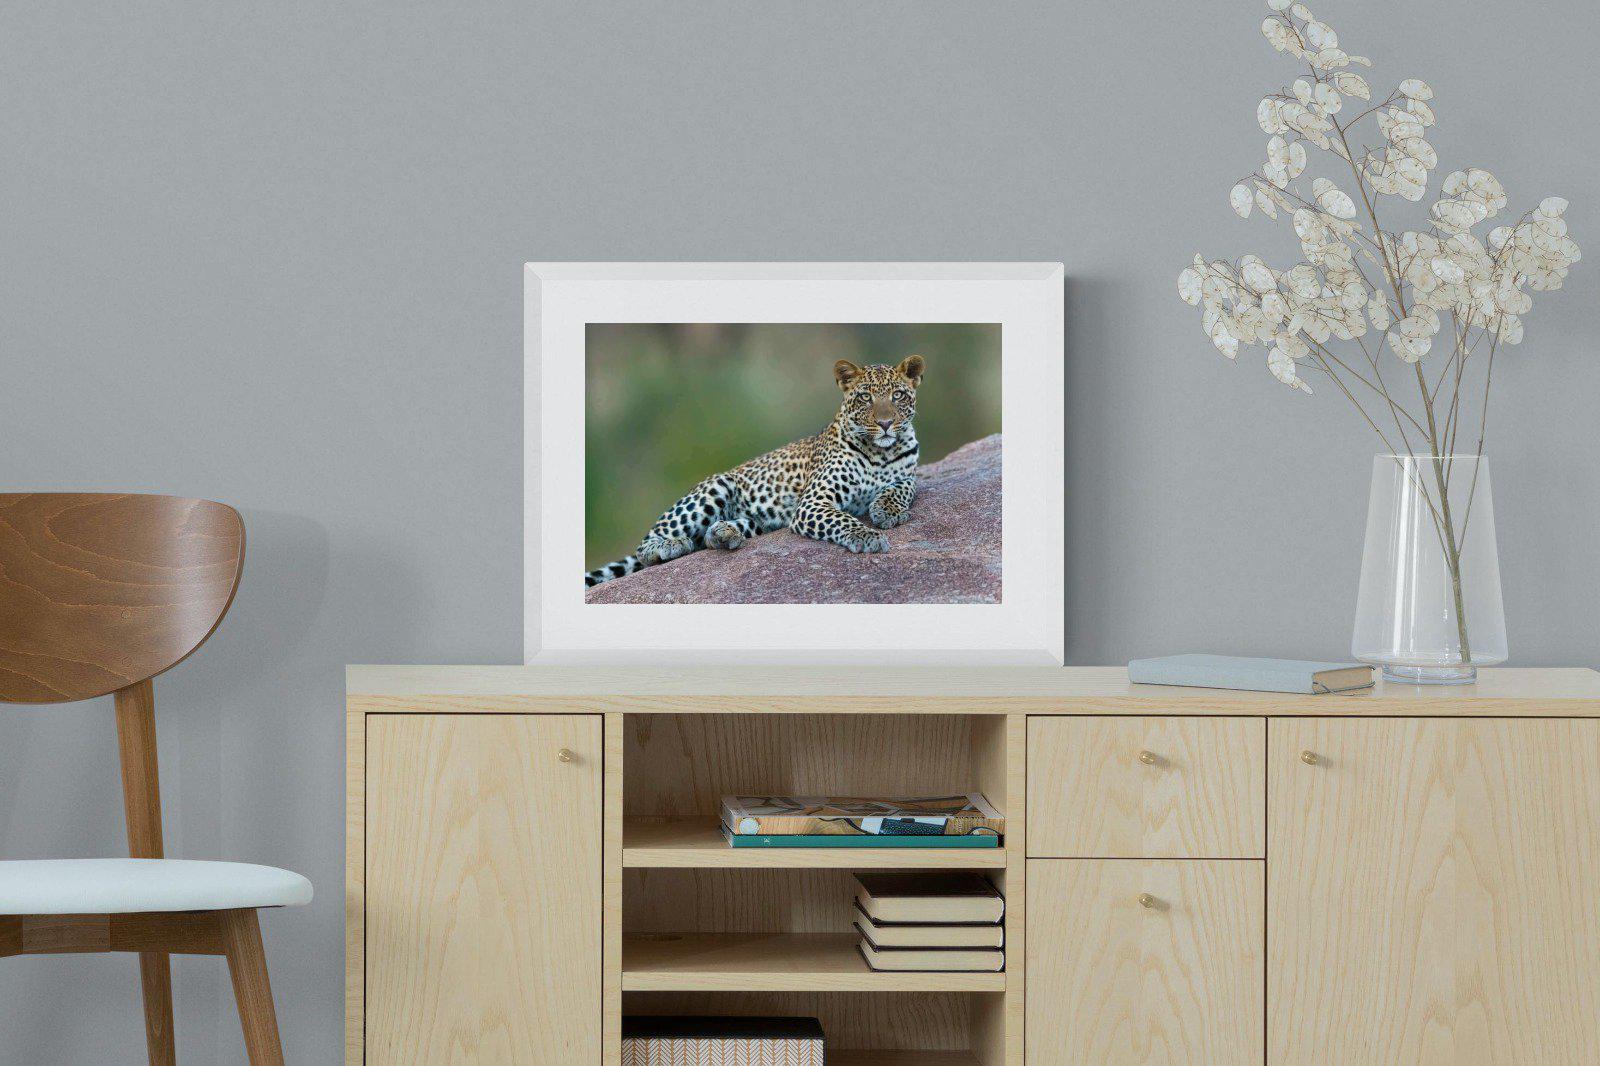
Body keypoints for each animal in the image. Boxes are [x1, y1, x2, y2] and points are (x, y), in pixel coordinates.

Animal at [585, 354, 925, 587]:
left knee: (710, 536)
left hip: (757, 521)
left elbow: (904, 487)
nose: (885, 424)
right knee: (647, 544)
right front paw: (868, 535)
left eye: (898, 395)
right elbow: (842, 519)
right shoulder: (813, 502)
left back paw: (723, 534)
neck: (881, 451)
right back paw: (672, 545)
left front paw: (887, 509)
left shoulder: (908, 474)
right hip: (714, 487)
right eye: (865, 397)